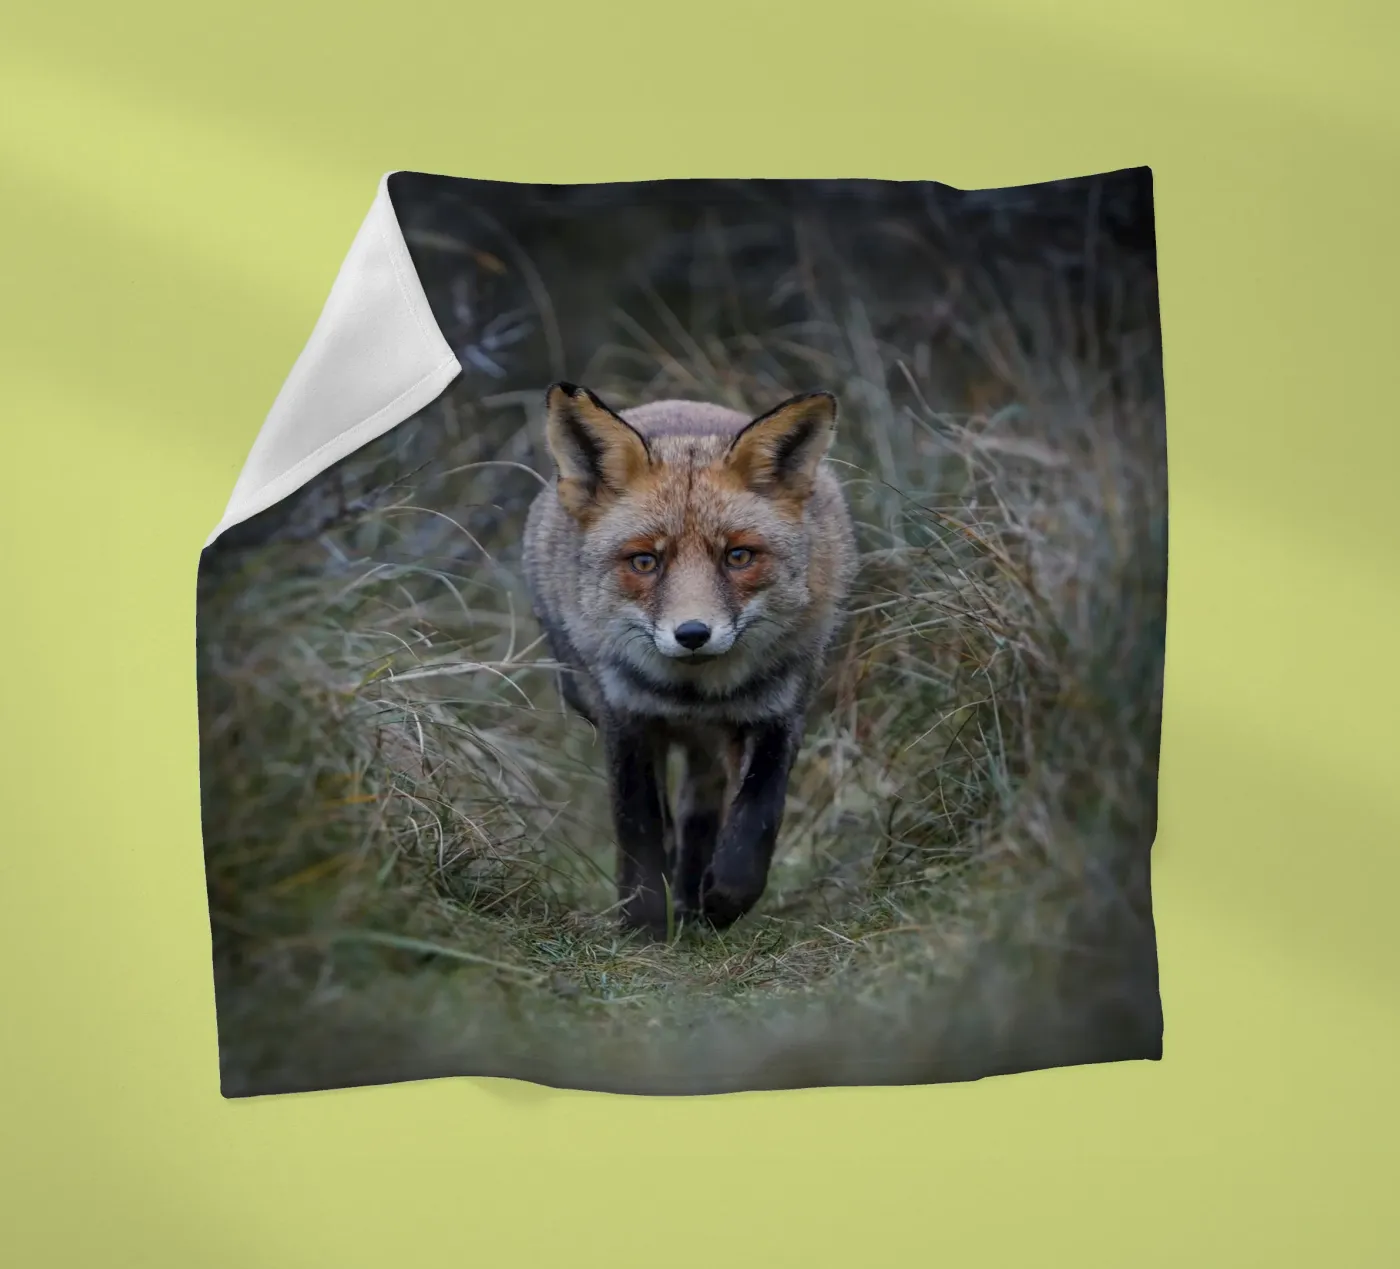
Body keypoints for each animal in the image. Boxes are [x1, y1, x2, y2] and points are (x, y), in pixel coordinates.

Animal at [522, 381, 858, 939]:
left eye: (738, 557)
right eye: (644, 562)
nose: (693, 634)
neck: (692, 694)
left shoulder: (778, 711)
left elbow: (757, 819)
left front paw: (723, 898)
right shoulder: (627, 717)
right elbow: (640, 827)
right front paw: (643, 924)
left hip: (715, 744)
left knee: (701, 810)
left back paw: (693, 896)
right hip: (589, 695)